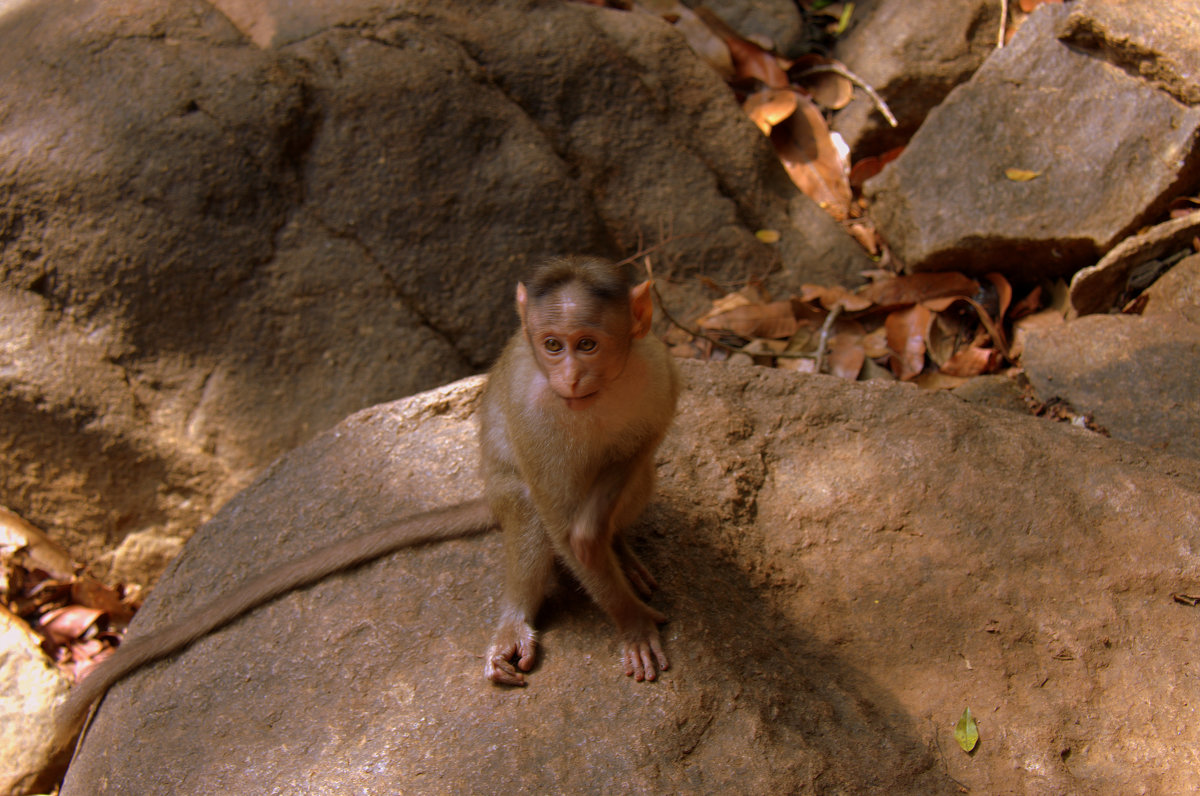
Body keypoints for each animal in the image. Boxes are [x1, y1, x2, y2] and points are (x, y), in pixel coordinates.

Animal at [51, 255, 681, 758]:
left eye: (588, 343)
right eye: (553, 344)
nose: (569, 376)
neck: (592, 399)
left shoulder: (657, 368)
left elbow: (639, 449)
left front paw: (605, 524)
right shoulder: (536, 414)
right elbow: (559, 520)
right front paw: (628, 620)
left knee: (639, 478)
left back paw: (620, 545)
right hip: (504, 483)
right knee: (527, 513)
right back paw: (518, 617)